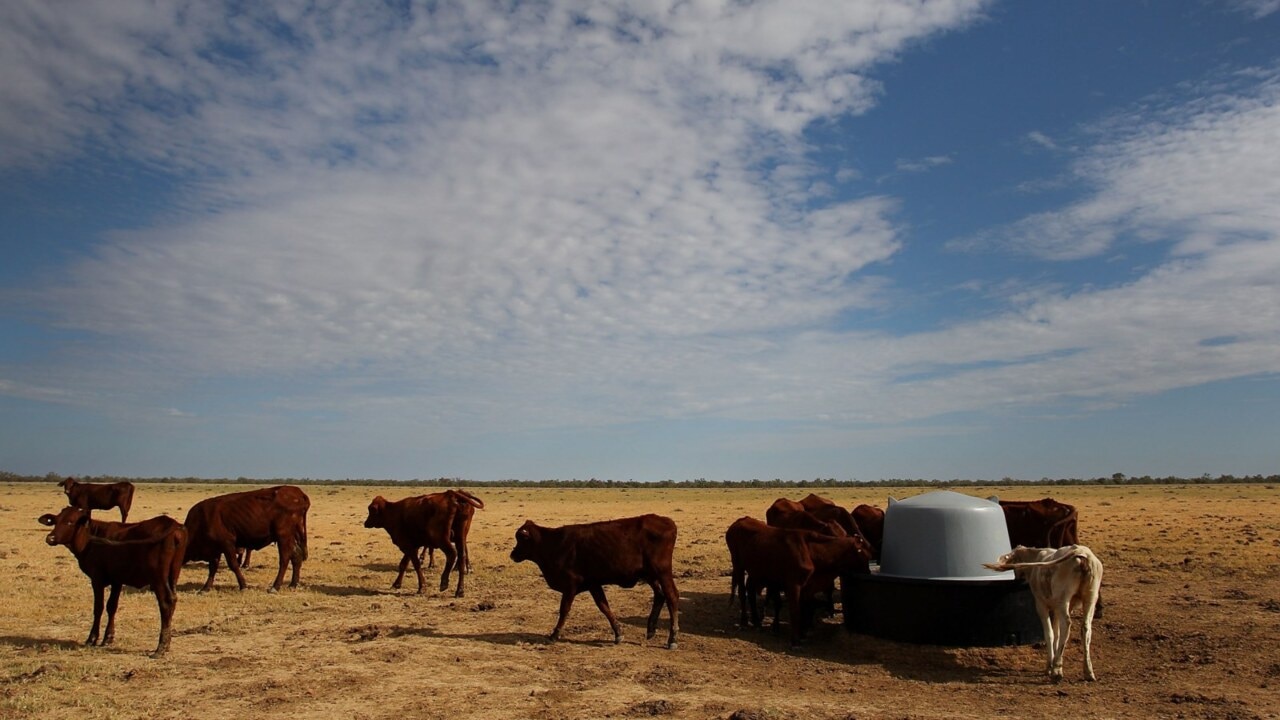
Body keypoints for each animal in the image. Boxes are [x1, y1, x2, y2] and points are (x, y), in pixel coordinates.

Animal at [41, 504, 186, 655]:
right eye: (55, 521)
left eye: (70, 522)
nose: (50, 538)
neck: (91, 539)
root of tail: (173, 524)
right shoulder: (117, 580)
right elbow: (112, 606)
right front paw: (108, 638)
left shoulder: (97, 579)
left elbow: (98, 607)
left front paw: (92, 639)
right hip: (173, 576)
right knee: (173, 600)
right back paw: (167, 644)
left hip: (158, 579)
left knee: (165, 603)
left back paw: (161, 647)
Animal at [506, 512, 680, 648]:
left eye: (521, 538)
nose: (512, 554)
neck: (553, 544)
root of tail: (667, 521)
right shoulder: (593, 584)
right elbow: (604, 607)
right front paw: (618, 633)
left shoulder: (570, 585)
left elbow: (564, 610)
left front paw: (554, 635)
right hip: (650, 575)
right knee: (660, 596)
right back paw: (651, 629)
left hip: (662, 572)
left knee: (671, 597)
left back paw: (672, 639)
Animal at [983, 543, 1105, 676]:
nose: (1016, 578)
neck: (1036, 557)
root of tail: (1081, 552)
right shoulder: (1057, 609)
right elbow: (1057, 633)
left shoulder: (1041, 605)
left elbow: (1049, 633)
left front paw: (1049, 666)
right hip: (1090, 598)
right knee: (1086, 628)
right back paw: (1088, 671)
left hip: (1063, 599)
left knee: (1067, 624)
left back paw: (1057, 668)